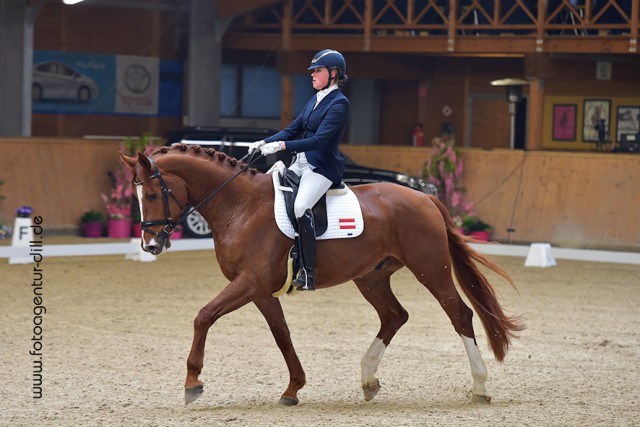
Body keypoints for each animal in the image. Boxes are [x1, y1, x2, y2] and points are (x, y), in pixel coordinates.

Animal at [121, 145, 524, 408]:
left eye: (153, 194)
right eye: (137, 196)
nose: (151, 245)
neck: (241, 207)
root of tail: (424, 198)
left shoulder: (248, 283)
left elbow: (203, 316)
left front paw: (192, 382)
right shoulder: (260, 290)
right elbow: (282, 335)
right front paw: (293, 388)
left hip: (431, 269)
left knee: (460, 314)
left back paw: (479, 387)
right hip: (371, 277)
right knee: (394, 316)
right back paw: (368, 379)